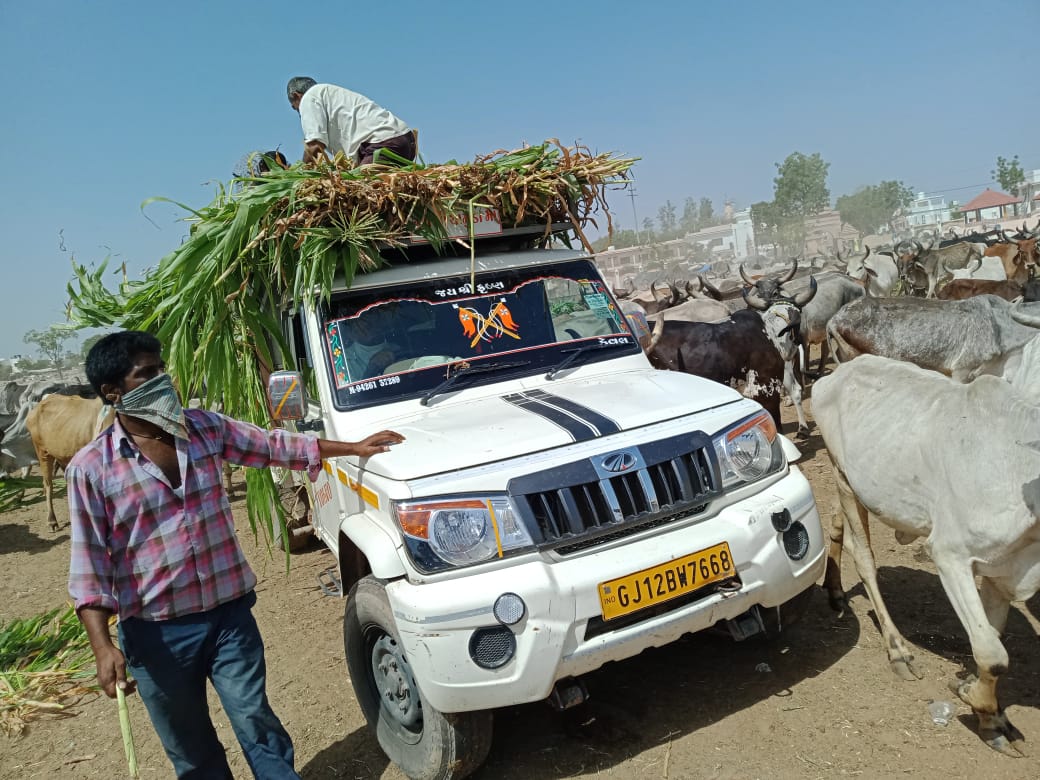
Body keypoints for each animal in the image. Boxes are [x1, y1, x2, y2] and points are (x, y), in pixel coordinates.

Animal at [811, 301, 1040, 752]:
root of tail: (834, 376)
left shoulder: (1003, 573)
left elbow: (991, 640)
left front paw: (985, 709)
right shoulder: (950, 555)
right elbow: (993, 654)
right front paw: (978, 704)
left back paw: (835, 590)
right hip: (842, 476)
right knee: (865, 559)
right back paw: (897, 649)